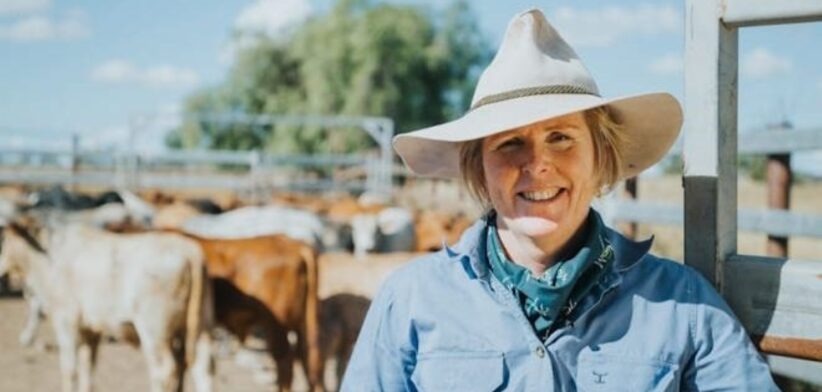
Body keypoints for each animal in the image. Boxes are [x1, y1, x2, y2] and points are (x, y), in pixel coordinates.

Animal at [0, 219, 216, 390]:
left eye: (3, 240)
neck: (45, 256)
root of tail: (190, 252)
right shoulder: (90, 329)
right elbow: (87, 368)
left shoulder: (66, 320)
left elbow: (69, 370)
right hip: (200, 326)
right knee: (203, 367)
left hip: (154, 330)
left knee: (164, 371)